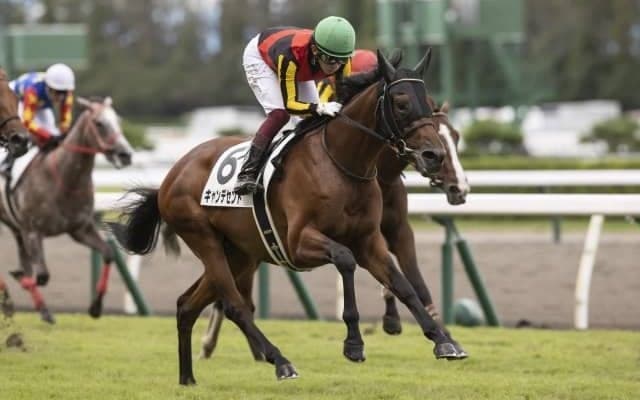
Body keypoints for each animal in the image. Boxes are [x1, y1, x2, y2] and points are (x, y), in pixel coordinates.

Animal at [0, 97, 133, 324]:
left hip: (17, 229)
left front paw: (96, 307)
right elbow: (42, 276)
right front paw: (21, 280)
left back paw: (40, 308)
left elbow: (108, 254)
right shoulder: (33, 232)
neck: (64, 178)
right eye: (99, 123)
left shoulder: (80, 229)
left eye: (118, 120)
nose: (125, 155)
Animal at [197, 98, 470, 360]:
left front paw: (443, 335)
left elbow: (414, 280)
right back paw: (213, 344)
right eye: (437, 136)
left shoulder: (398, 231)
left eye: (456, 136)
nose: (459, 188)